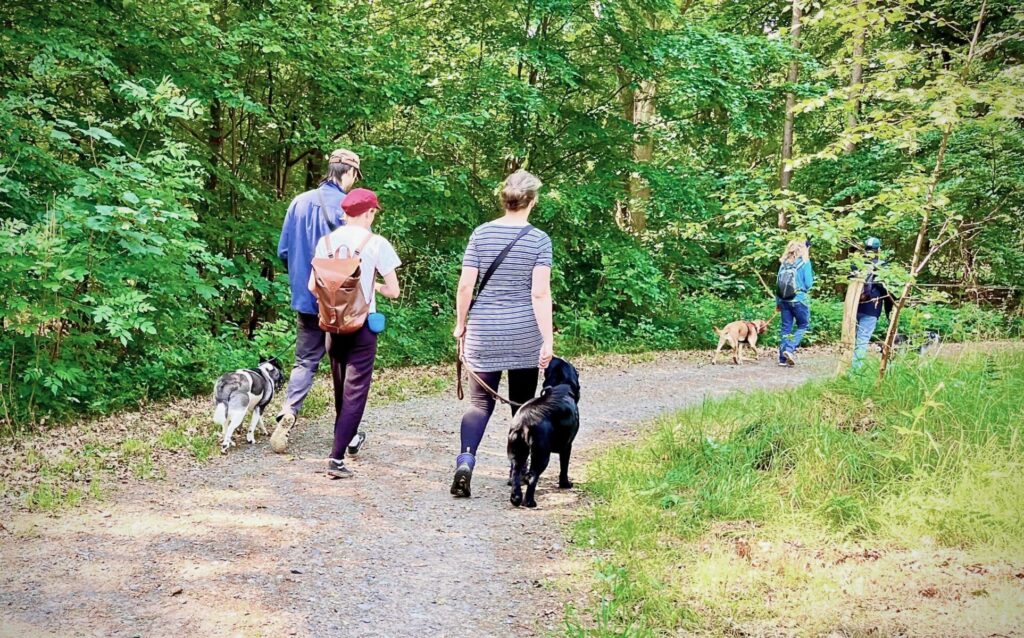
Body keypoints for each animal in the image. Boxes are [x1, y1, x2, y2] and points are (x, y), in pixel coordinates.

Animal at [507, 360, 581, 509]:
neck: (561, 384)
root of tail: (523, 421)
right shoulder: (567, 446)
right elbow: (564, 467)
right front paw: (565, 484)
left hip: (517, 452)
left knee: (516, 474)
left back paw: (516, 499)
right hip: (541, 454)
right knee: (532, 477)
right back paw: (529, 502)